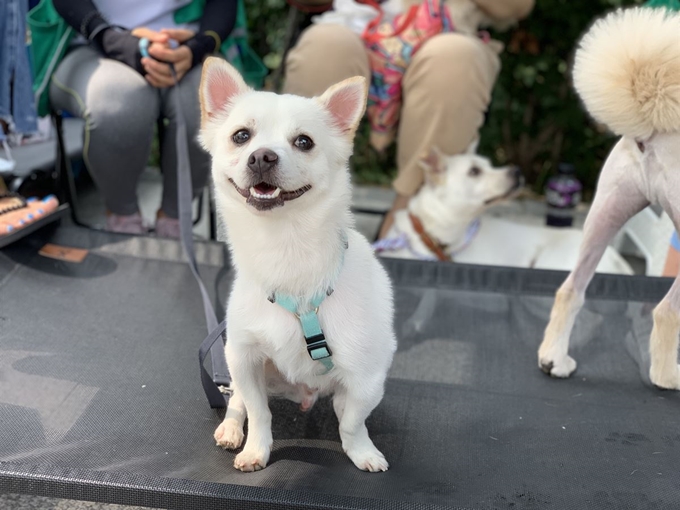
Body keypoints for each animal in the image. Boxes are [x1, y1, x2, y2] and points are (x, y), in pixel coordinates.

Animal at [197, 57, 396, 472]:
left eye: (304, 142)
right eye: (241, 136)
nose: (262, 156)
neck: (284, 247)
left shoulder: (368, 377)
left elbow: (353, 422)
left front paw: (361, 451)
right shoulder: (243, 358)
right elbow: (259, 412)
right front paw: (256, 450)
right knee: (237, 399)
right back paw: (231, 429)